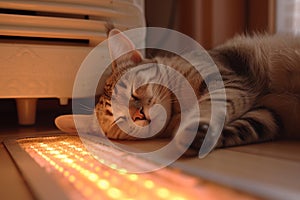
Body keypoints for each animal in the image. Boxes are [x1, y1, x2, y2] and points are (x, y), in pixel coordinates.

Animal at [55, 28, 300, 156]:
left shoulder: (226, 80)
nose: (139, 115)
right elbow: (244, 127)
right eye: (119, 120)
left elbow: (212, 105)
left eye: (133, 91)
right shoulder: (269, 114)